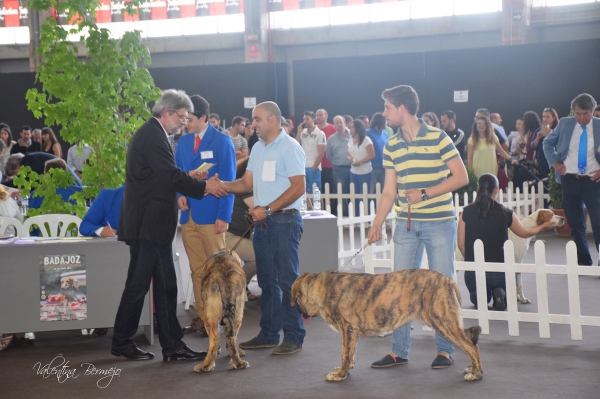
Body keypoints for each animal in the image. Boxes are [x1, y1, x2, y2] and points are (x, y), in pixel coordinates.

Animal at [290, 270, 482, 382]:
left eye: (297, 299)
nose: (299, 311)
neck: (321, 287)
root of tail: (449, 281)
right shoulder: (352, 332)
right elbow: (350, 354)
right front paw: (345, 370)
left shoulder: (347, 329)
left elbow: (344, 353)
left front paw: (340, 374)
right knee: (471, 341)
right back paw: (472, 368)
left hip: (443, 321)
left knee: (471, 346)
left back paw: (476, 373)